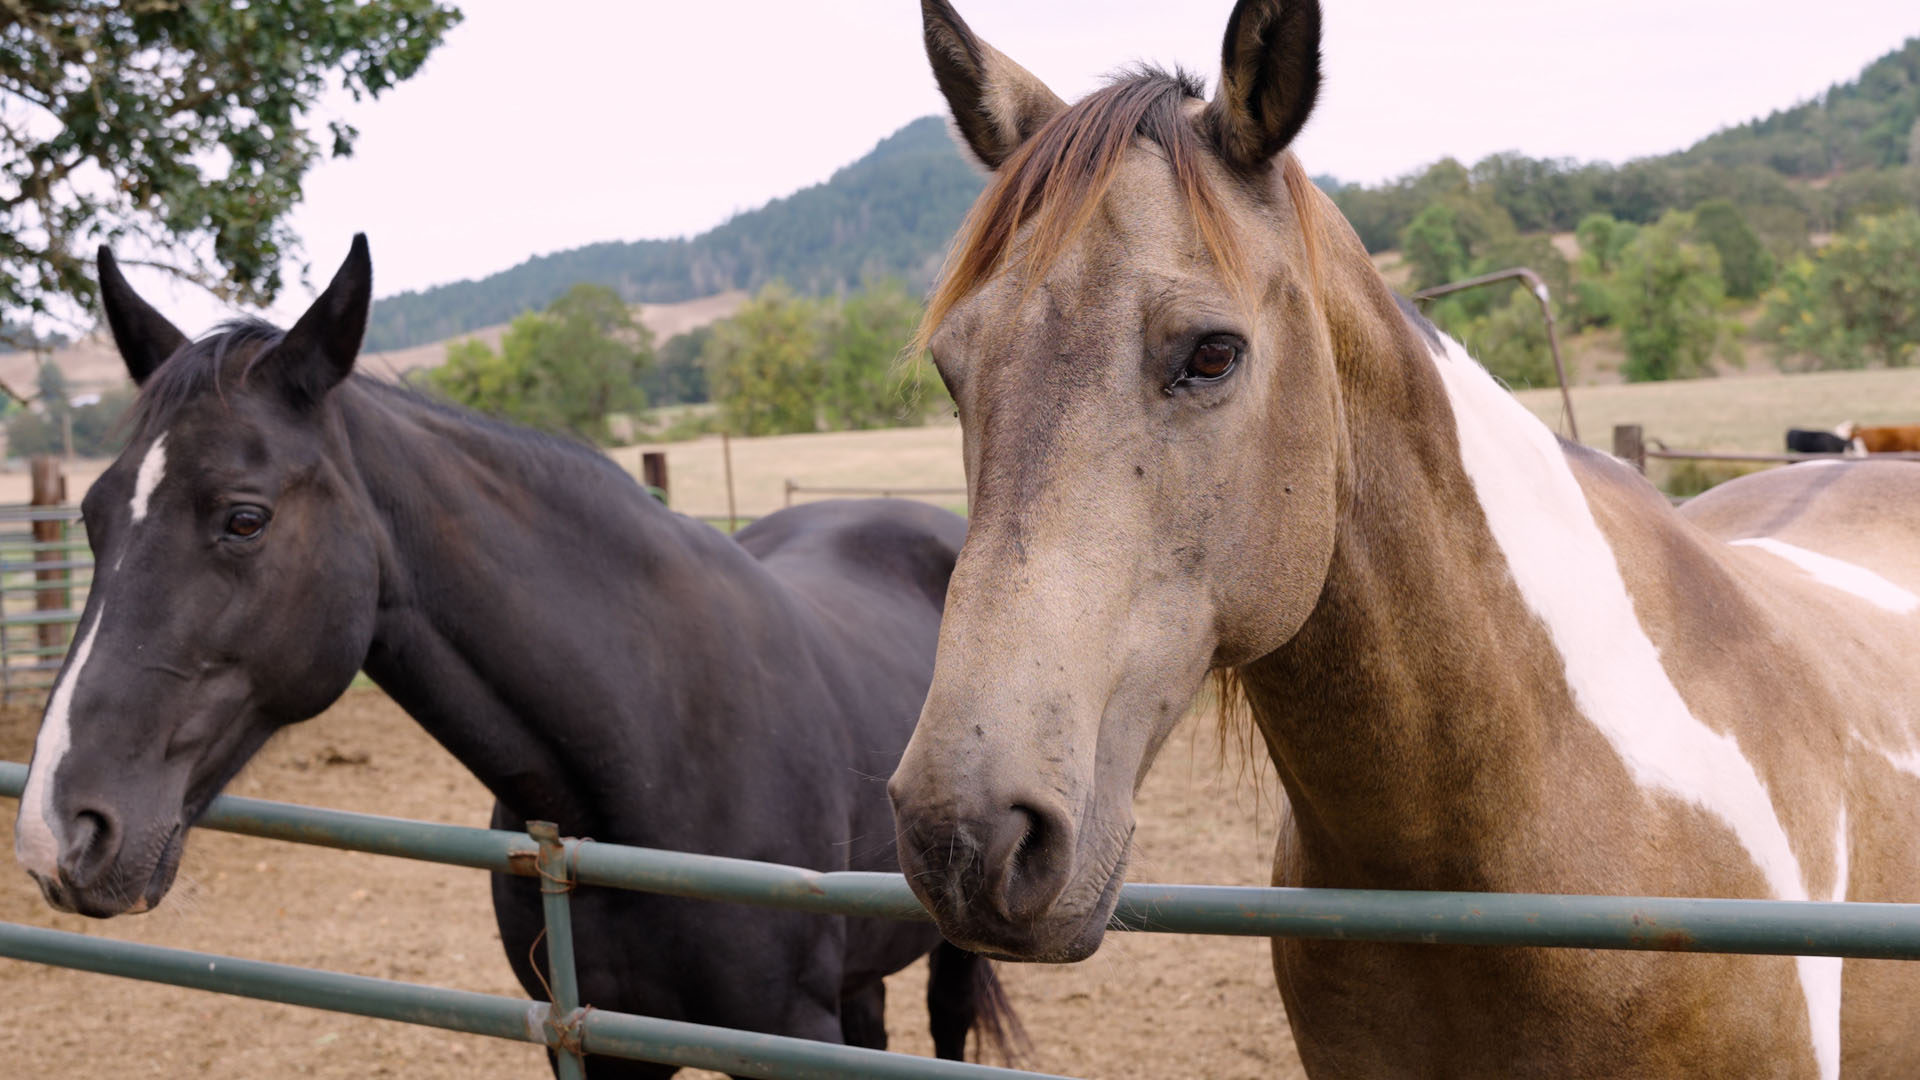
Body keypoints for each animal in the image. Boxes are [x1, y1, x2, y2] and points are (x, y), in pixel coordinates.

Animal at [11, 239, 1021, 1068]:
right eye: (90, 517)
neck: (645, 760)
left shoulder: (785, 1035)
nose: (57, 831)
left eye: (244, 519)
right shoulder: (606, 1047)